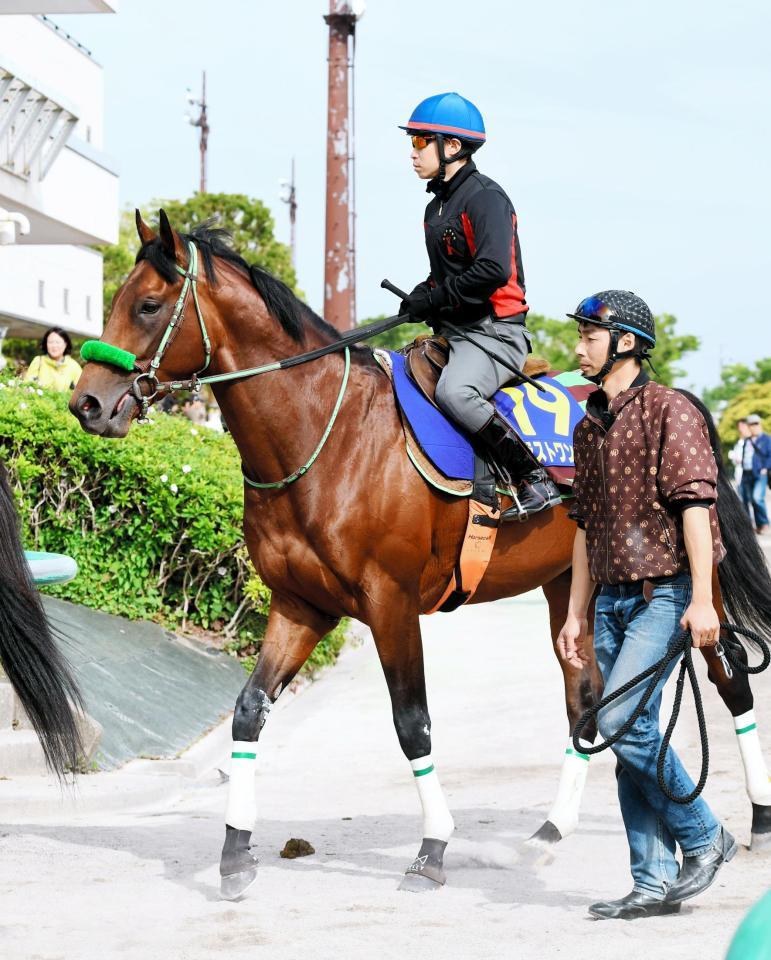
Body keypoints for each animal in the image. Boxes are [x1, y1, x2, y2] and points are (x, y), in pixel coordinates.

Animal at [68, 212, 771, 900]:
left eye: (149, 305)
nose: (87, 403)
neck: (330, 436)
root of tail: (678, 401)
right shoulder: (300, 606)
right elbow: (247, 713)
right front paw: (236, 852)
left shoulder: (392, 604)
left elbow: (413, 724)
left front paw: (432, 849)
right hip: (569, 586)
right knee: (587, 696)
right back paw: (547, 833)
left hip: (694, 590)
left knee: (730, 681)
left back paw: (758, 820)